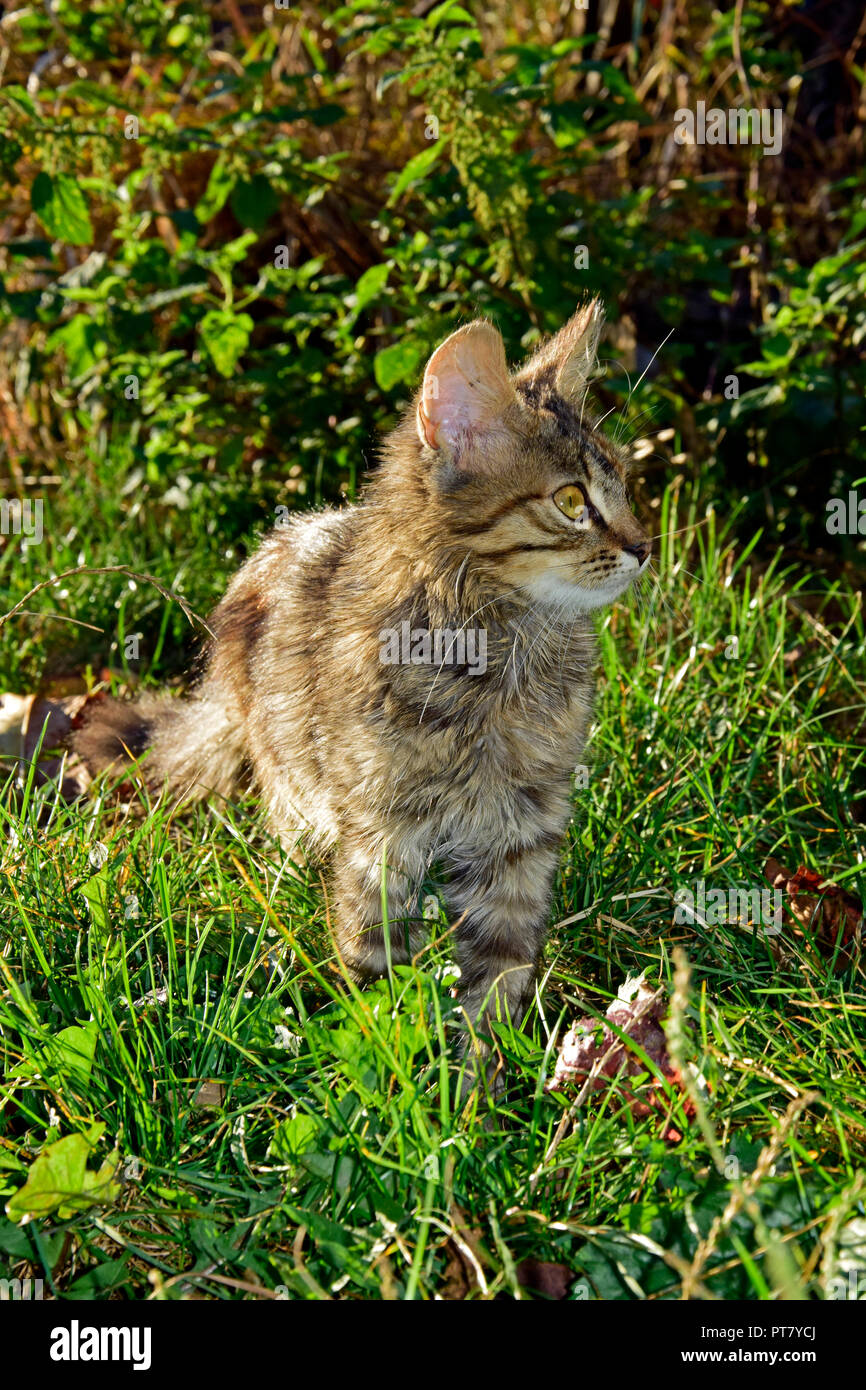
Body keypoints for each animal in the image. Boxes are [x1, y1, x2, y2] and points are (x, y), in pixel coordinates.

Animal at [77, 304, 650, 1045]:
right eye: (573, 501)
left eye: (625, 491)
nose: (643, 547)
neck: (499, 657)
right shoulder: (381, 829)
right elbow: (374, 960)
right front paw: (384, 1047)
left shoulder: (520, 829)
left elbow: (498, 970)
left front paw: (483, 1068)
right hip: (294, 789)